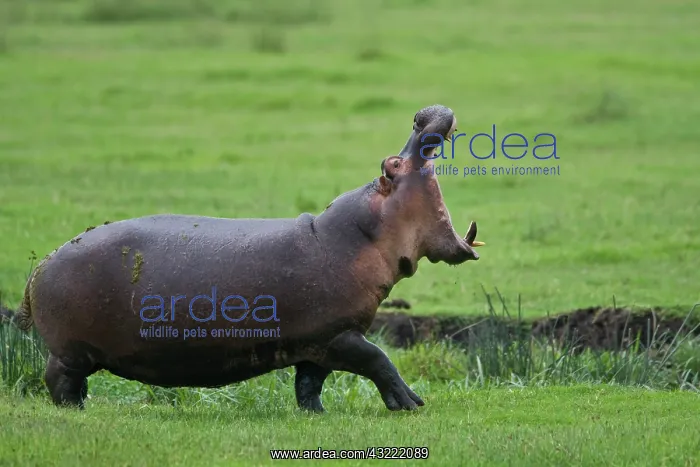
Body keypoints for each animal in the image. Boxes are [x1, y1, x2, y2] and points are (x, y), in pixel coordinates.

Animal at [14, 104, 484, 412]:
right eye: (393, 164)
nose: (421, 116)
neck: (361, 235)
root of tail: (40, 268)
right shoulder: (339, 336)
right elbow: (379, 361)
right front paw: (412, 403)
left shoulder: (316, 342)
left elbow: (309, 383)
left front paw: (316, 415)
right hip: (69, 352)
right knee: (59, 381)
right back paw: (76, 411)